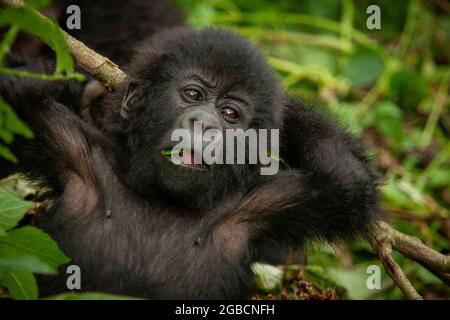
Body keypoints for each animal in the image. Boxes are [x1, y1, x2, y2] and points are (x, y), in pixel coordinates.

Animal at [0, 28, 380, 300]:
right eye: (193, 95)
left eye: (230, 114)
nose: (205, 123)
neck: (161, 199)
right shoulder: (72, 150)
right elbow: (15, 93)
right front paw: (84, 84)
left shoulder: (260, 208)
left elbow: (343, 182)